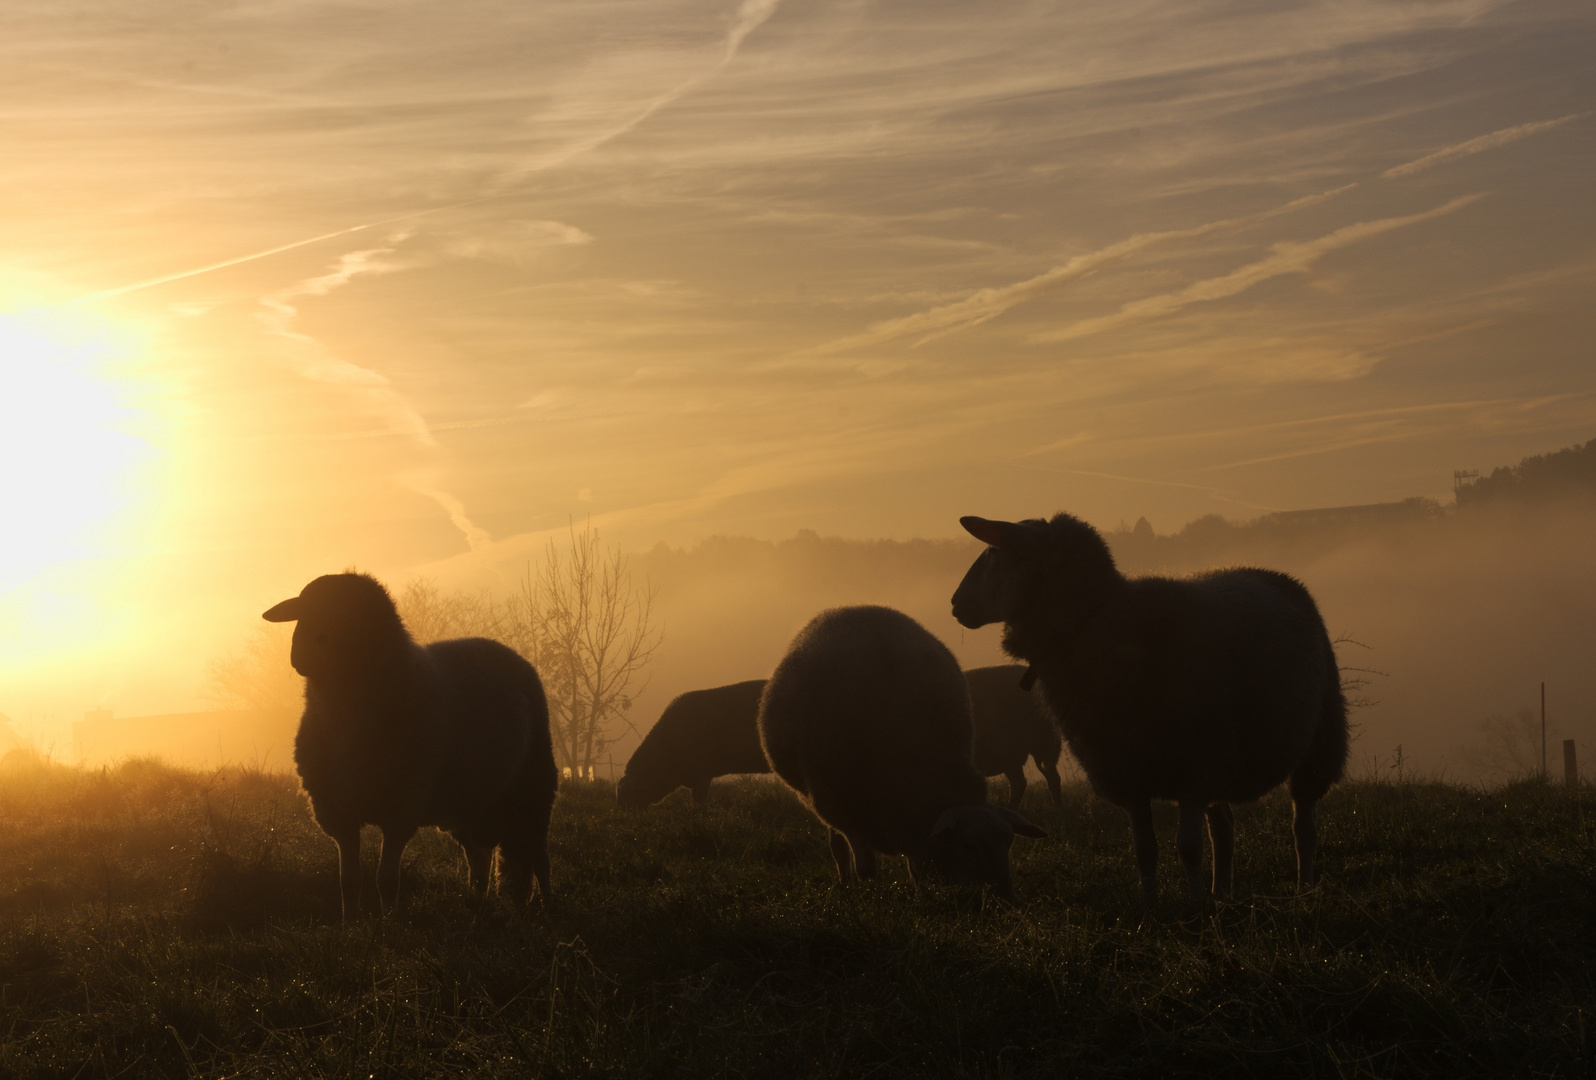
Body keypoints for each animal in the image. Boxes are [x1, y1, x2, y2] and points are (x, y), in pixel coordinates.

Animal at [263, 574, 561, 918]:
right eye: (302, 610)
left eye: (347, 614)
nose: (301, 653)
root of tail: (503, 650)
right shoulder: (338, 812)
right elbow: (348, 880)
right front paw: (349, 922)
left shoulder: (401, 809)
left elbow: (386, 879)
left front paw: (389, 922)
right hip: (471, 799)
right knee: (479, 856)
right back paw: (477, 901)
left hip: (535, 786)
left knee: (540, 858)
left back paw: (549, 906)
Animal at [759, 603, 1046, 899]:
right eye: (969, 846)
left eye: (1009, 843)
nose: (1006, 897)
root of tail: (852, 608)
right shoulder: (844, 809)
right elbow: (866, 866)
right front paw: (870, 895)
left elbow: (915, 863)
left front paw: (920, 892)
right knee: (837, 845)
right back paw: (844, 881)